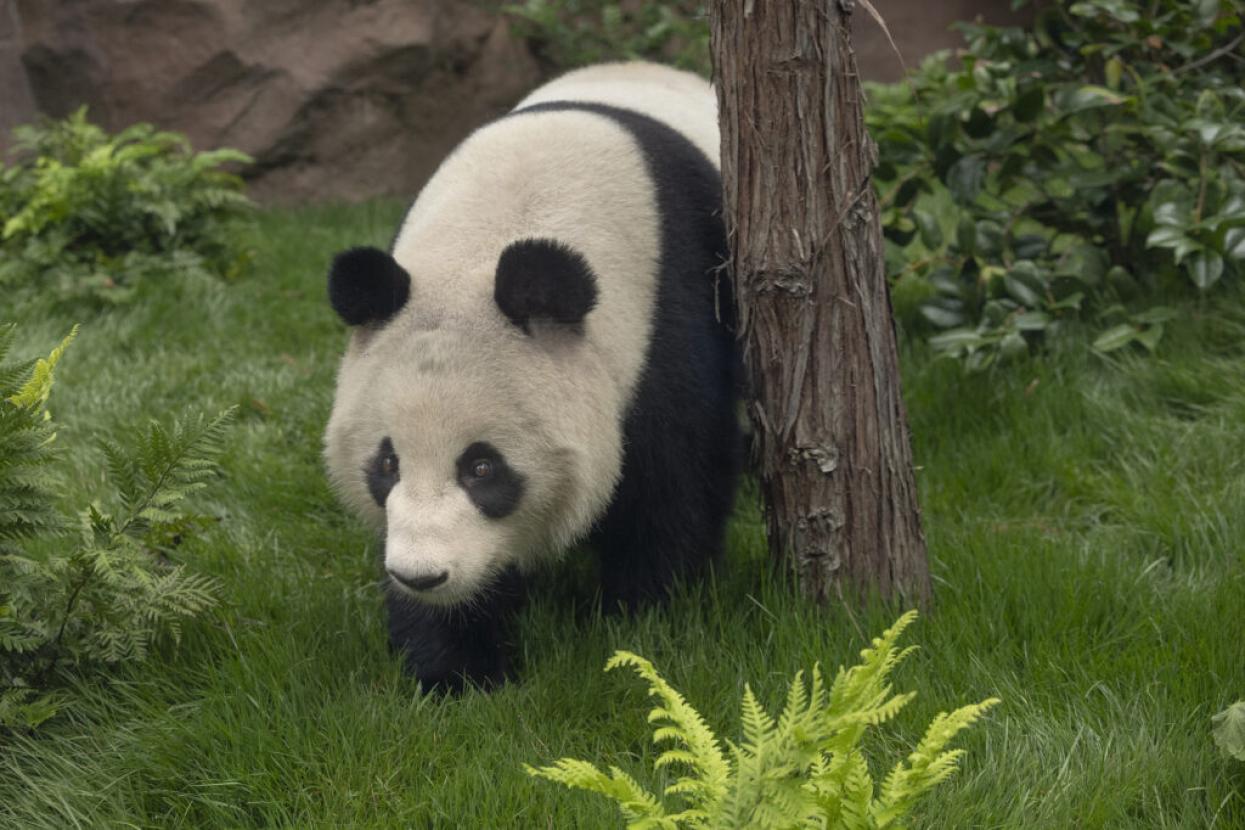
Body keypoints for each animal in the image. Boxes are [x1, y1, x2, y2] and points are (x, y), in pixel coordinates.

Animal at [323, 62, 740, 691]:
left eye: (482, 467)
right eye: (387, 462)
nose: (422, 575)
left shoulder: (670, 315)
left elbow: (675, 485)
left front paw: (636, 615)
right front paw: (456, 666)